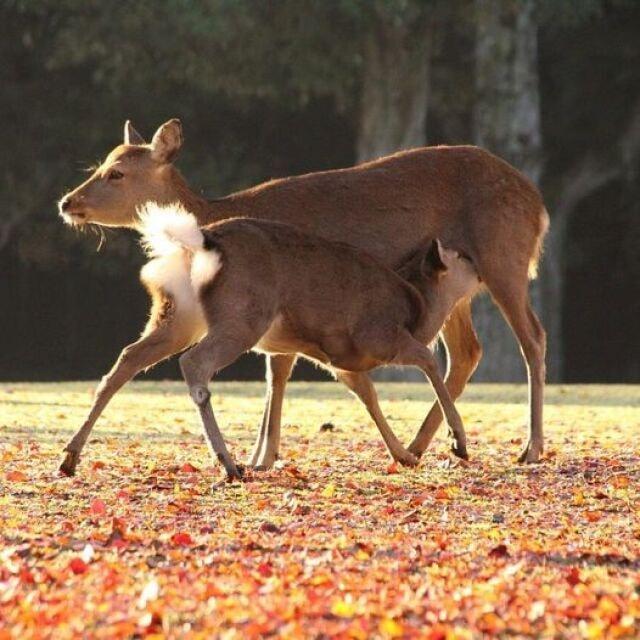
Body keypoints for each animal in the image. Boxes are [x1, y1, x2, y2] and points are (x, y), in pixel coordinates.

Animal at [60, 120, 548, 472]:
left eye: (117, 173)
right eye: (100, 164)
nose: (67, 203)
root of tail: (538, 205)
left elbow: (278, 373)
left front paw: (261, 457)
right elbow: (275, 374)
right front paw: (260, 456)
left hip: (504, 258)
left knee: (532, 338)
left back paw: (530, 447)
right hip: (459, 290)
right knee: (467, 352)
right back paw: (427, 445)